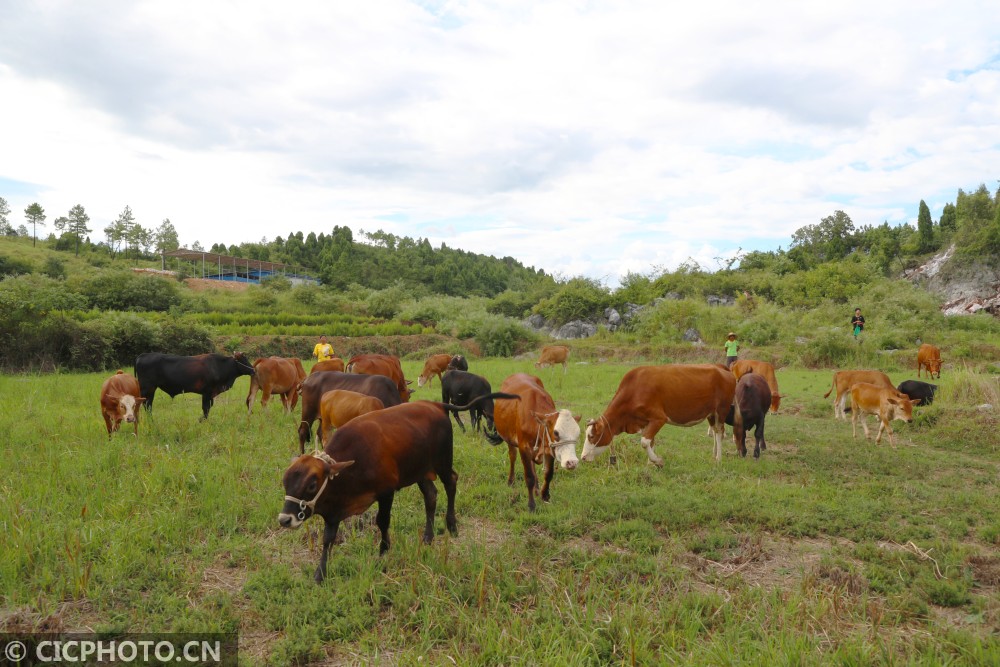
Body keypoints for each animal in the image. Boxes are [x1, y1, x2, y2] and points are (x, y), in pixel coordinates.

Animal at [490, 376, 580, 512]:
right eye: (556, 433)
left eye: (578, 433)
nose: (572, 462)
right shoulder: (523, 448)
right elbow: (529, 477)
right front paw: (531, 505)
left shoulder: (549, 450)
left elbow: (548, 474)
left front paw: (545, 495)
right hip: (509, 440)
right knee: (512, 457)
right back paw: (511, 481)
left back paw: (537, 489)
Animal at [584, 362, 740, 468]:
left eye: (591, 436)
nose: (583, 457)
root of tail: (719, 367)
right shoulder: (645, 421)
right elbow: (651, 441)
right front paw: (650, 464)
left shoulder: (659, 418)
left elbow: (644, 442)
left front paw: (657, 461)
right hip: (711, 413)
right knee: (714, 431)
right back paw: (714, 454)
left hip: (722, 409)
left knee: (719, 432)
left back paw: (718, 458)